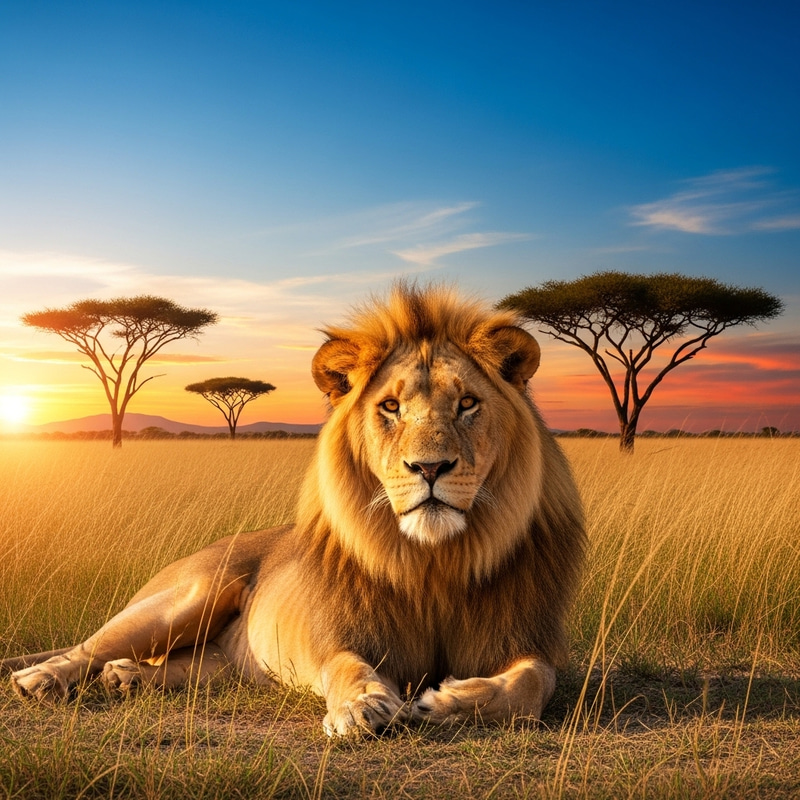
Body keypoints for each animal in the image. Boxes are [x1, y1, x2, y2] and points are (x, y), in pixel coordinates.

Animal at [1, 283, 585, 736]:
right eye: (390, 407)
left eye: (467, 404)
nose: (430, 467)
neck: (434, 561)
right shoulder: (337, 633)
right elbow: (347, 665)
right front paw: (364, 706)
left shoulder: (527, 637)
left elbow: (534, 683)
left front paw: (447, 700)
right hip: (186, 596)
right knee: (87, 647)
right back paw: (41, 679)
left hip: (222, 664)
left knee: (182, 665)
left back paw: (125, 677)